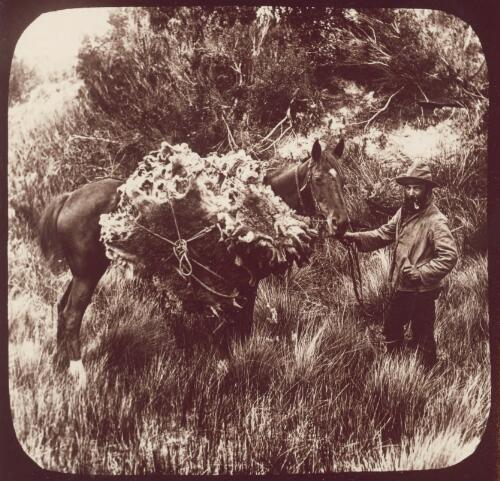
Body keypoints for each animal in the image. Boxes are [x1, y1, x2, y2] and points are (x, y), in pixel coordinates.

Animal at [38, 137, 348, 384]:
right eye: (318, 179)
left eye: (342, 179)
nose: (341, 223)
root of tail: (68, 197)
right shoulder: (238, 285)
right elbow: (238, 328)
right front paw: (231, 365)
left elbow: (239, 327)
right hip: (88, 274)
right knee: (71, 315)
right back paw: (79, 375)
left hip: (82, 273)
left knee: (61, 307)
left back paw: (59, 363)